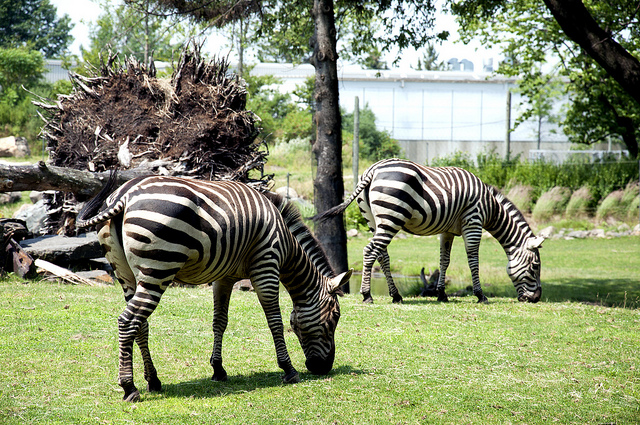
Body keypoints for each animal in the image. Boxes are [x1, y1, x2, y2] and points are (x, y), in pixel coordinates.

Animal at [76, 173, 351, 402]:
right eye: (335, 318)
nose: (324, 368)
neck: (286, 244)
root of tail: (125, 194)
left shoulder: (224, 276)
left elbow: (220, 322)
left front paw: (218, 369)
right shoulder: (266, 264)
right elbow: (275, 320)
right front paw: (289, 369)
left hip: (126, 274)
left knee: (140, 325)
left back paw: (153, 380)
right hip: (158, 268)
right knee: (128, 321)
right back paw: (129, 387)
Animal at [313, 158, 543, 304]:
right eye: (535, 267)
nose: (536, 299)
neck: (490, 207)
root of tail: (373, 170)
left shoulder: (447, 231)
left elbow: (444, 261)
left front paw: (441, 294)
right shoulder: (473, 221)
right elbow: (473, 259)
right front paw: (480, 295)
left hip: (373, 219)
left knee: (382, 255)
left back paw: (396, 295)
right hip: (391, 217)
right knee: (370, 251)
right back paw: (367, 295)